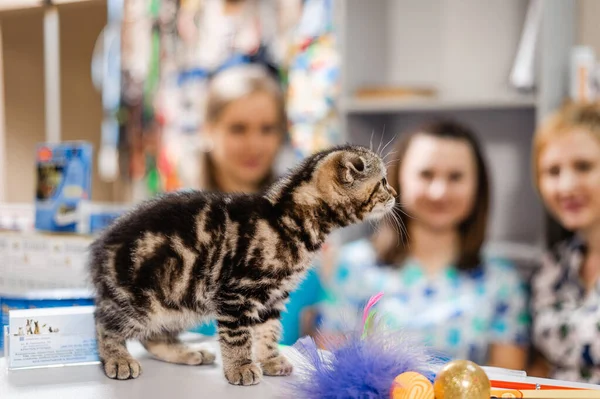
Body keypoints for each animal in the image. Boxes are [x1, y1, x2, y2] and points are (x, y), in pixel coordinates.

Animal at [89, 145, 396, 386]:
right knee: (104, 322)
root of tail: (101, 245)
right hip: (144, 300)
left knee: (153, 337)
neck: (289, 221)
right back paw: (117, 358)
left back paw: (188, 353)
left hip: (180, 301)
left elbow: (268, 331)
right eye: (382, 182)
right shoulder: (235, 293)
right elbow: (238, 335)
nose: (394, 193)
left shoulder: (273, 296)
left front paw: (270, 359)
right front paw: (241, 367)